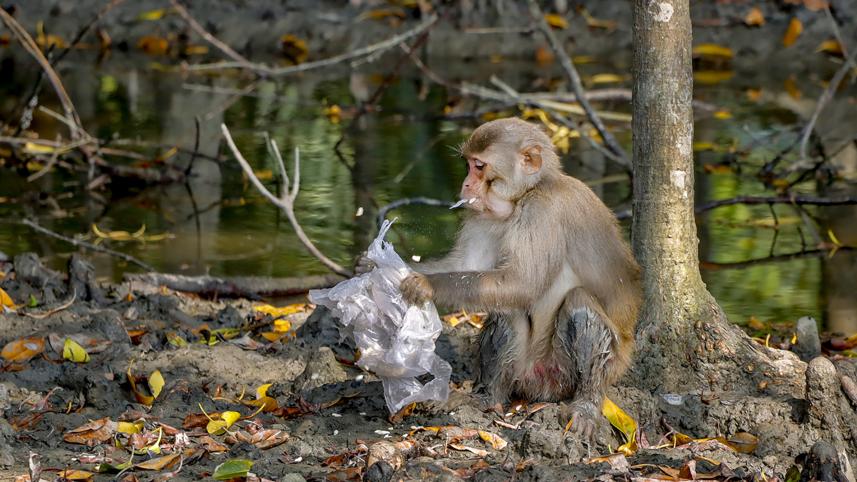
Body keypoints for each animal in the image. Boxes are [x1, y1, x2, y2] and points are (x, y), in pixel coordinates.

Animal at [360, 118, 641, 438]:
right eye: (467, 164)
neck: (527, 193)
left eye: (479, 166)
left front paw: (427, 285)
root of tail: (538, 388)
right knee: (507, 310)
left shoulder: (542, 210)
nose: (466, 185)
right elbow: (468, 265)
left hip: (574, 370)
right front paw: (372, 269)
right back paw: (485, 396)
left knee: (576, 302)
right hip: (523, 370)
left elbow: (523, 284)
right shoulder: (482, 213)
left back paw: (586, 402)